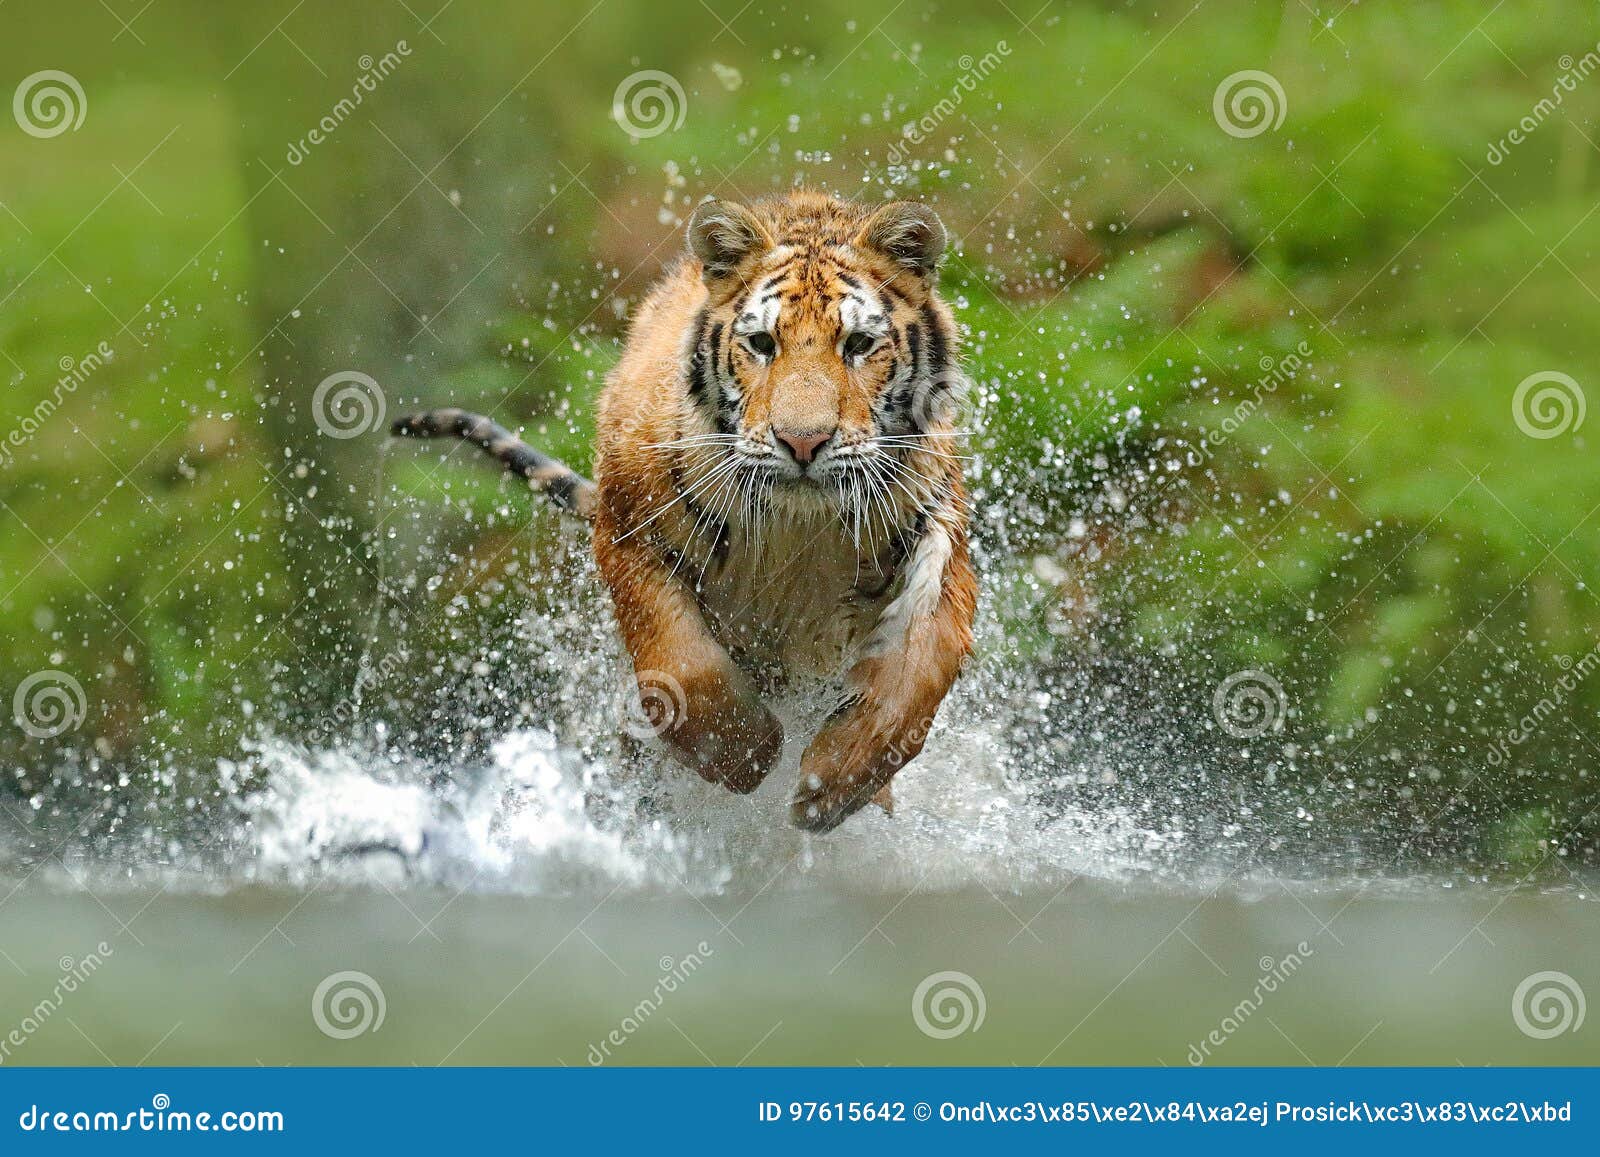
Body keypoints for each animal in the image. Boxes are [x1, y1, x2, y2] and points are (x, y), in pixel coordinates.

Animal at [393, 190, 979, 825]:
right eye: (762, 344)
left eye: (858, 345)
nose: (802, 442)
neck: (798, 527)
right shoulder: (627, 529)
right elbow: (683, 663)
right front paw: (747, 756)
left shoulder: (941, 534)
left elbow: (921, 669)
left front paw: (834, 781)